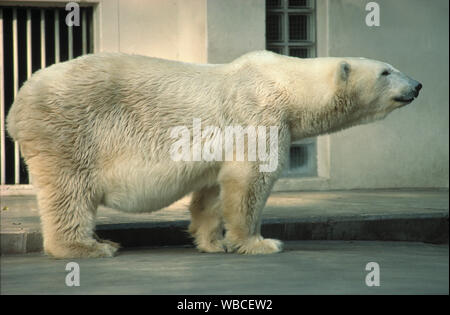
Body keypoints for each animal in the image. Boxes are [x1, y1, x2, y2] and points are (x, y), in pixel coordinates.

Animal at [6, 51, 422, 260]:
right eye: (386, 71)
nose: (418, 84)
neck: (286, 85)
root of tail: (18, 104)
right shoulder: (257, 114)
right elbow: (250, 180)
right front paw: (260, 243)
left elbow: (213, 190)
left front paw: (213, 242)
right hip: (71, 129)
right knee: (70, 191)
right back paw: (90, 246)